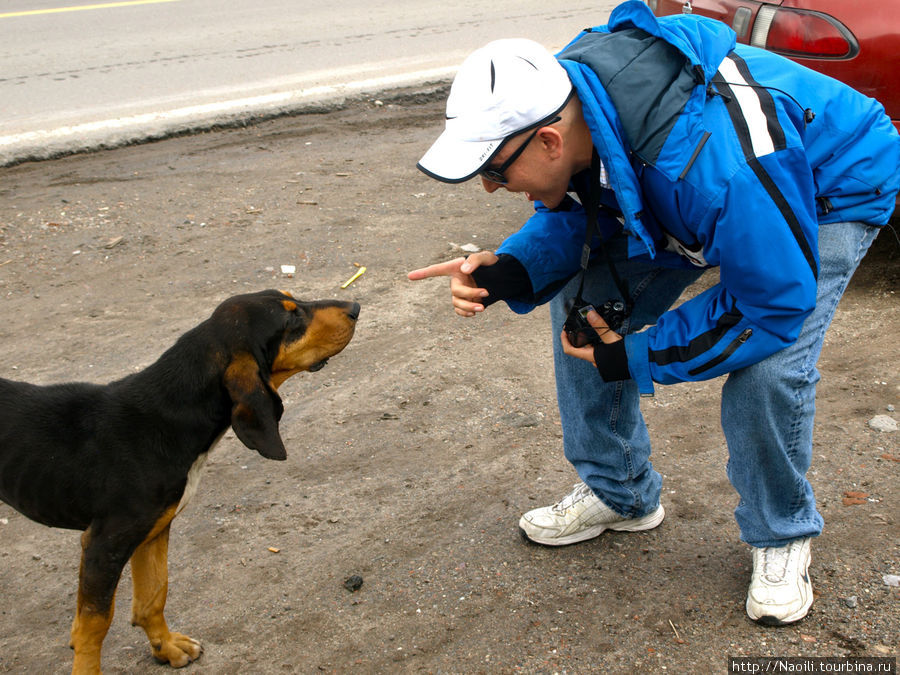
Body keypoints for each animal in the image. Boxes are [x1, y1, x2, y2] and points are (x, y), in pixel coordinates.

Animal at [0, 290, 358, 675]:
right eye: (291, 319)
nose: (355, 307)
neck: (164, 415)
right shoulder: (104, 543)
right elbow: (93, 626)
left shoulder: (154, 530)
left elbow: (154, 595)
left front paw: (166, 647)